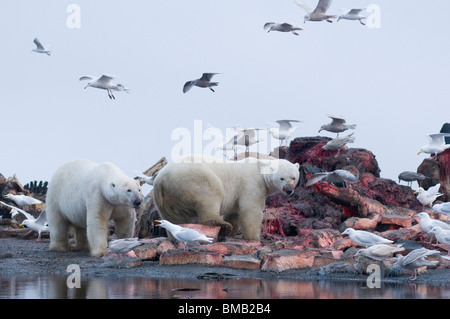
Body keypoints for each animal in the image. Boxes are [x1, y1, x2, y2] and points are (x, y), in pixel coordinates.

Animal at [153, 156, 300, 241]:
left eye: (293, 177)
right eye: (282, 178)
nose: (289, 190)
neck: (260, 167)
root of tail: (161, 180)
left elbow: (234, 213)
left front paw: (232, 233)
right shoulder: (251, 184)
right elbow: (250, 213)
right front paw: (253, 239)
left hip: (168, 198)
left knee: (174, 218)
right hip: (193, 179)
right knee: (210, 195)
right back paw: (222, 225)